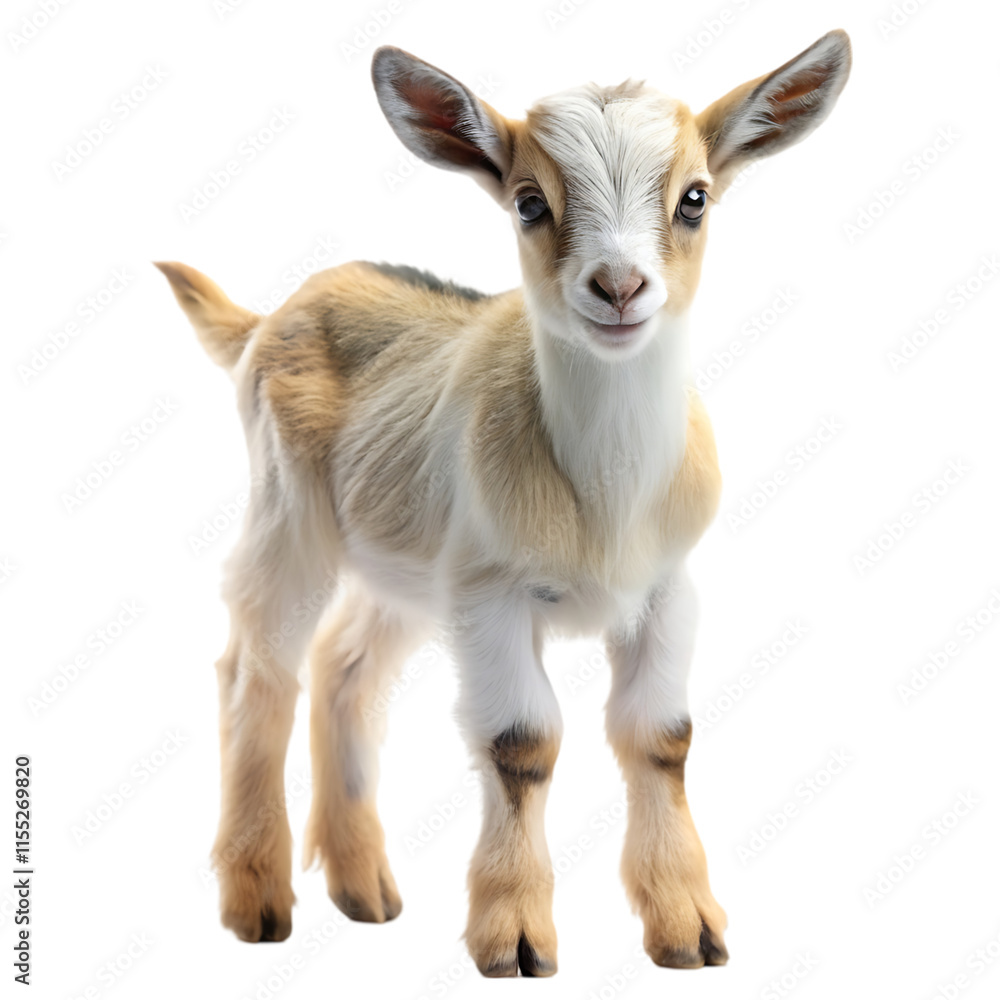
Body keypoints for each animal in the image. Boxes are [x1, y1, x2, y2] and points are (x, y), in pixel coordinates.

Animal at [157, 30, 851, 977]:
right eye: (529, 203)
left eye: (695, 198)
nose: (619, 286)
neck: (607, 500)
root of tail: (273, 315)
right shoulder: (491, 594)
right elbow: (521, 742)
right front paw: (515, 937)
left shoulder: (666, 589)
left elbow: (662, 735)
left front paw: (688, 928)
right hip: (288, 512)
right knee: (257, 668)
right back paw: (258, 899)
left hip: (407, 564)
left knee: (345, 667)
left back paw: (364, 890)